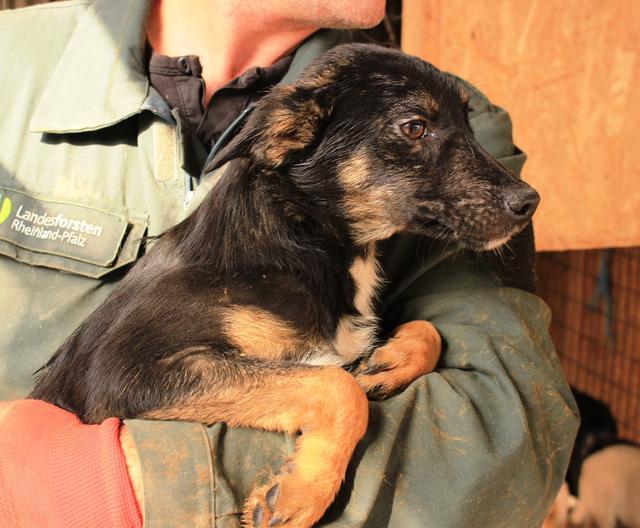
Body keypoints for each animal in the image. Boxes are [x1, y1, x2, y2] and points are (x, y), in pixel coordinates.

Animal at [30, 45, 540, 528]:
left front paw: (390, 361)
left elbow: (423, 333)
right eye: (414, 127)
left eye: (469, 123)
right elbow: (338, 387)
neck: (302, 237)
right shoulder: (124, 370)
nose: (529, 201)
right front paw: (300, 494)